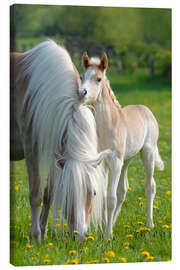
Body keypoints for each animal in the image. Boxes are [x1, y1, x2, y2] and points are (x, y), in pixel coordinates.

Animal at [10, 41, 112, 242]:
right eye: (68, 194)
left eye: (93, 193)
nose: (80, 236)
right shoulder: (32, 148)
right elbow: (36, 193)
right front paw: (35, 235)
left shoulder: (56, 151)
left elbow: (48, 193)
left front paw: (43, 231)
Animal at [77, 50, 165, 236]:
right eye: (82, 76)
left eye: (98, 79)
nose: (81, 93)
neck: (109, 124)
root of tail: (145, 109)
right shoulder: (102, 162)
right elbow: (105, 195)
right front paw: (105, 227)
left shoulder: (115, 161)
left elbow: (111, 197)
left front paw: (107, 235)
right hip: (126, 160)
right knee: (123, 189)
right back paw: (115, 222)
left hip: (147, 154)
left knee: (150, 186)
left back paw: (150, 224)